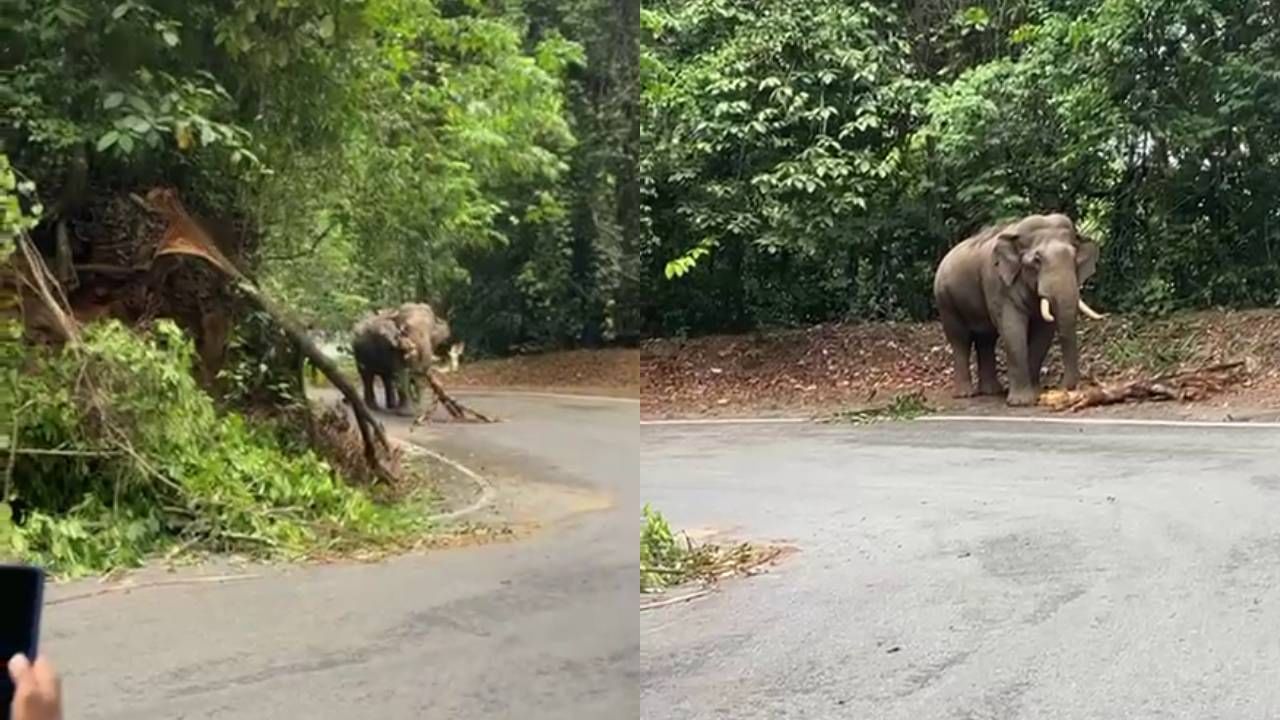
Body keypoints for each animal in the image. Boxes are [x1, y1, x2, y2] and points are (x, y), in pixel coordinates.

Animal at [936, 211, 1105, 404]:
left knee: (986, 339)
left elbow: (1043, 333)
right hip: (946, 301)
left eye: (1074, 257)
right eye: (1037, 260)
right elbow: (1013, 329)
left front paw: (1036, 393)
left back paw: (991, 391)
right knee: (960, 340)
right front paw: (1021, 402)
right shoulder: (998, 283)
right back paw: (965, 394)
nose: (1063, 388)